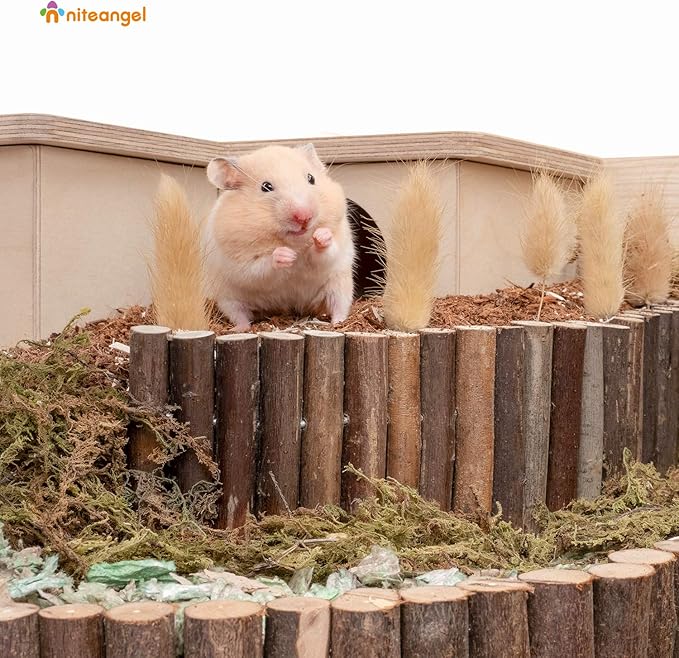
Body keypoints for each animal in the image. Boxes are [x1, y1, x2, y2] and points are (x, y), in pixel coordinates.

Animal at [203, 143, 355, 330]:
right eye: (266, 187)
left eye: (311, 178)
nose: (304, 217)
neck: (294, 242)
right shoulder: (241, 263)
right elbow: (261, 266)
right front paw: (286, 255)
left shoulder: (335, 249)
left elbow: (325, 253)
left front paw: (321, 236)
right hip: (228, 299)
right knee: (239, 315)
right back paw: (240, 328)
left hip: (340, 285)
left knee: (339, 307)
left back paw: (337, 322)